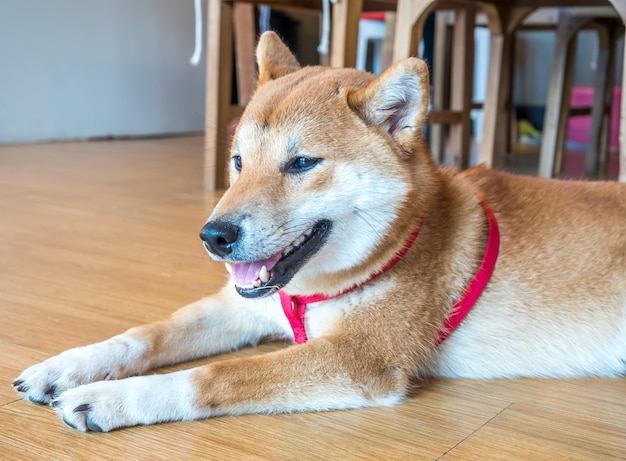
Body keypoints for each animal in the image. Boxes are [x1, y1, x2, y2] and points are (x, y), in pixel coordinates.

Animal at [11, 32, 624, 432]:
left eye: (302, 163)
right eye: (237, 162)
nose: (213, 236)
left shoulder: (359, 358)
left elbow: (214, 376)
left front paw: (110, 399)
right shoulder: (243, 307)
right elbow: (147, 334)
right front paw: (65, 367)